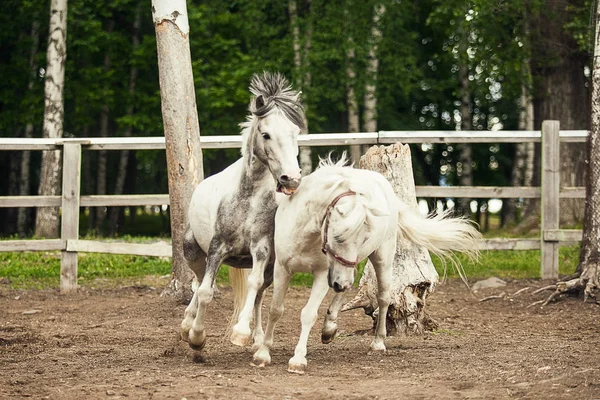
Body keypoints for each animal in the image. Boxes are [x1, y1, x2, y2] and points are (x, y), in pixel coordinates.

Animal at [179, 72, 304, 354]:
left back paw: (256, 337)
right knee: (198, 282)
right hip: (193, 251)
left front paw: (241, 333)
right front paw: (197, 336)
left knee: (257, 295)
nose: (291, 177)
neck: (248, 197)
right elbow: (206, 291)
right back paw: (186, 323)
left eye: (296, 133)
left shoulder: (261, 249)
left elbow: (253, 287)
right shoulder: (217, 247)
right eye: (266, 134)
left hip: (269, 266)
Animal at [251, 155, 480, 374]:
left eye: (363, 237)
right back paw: (329, 328)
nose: (340, 282)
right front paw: (262, 354)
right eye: (338, 236)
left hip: (380, 258)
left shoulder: (322, 274)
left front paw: (298, 360)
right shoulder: (283, 268)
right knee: (346, 289)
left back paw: (376, 343)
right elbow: (275, 310)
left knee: (382, 297)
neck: (306, 232)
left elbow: (308, 314)